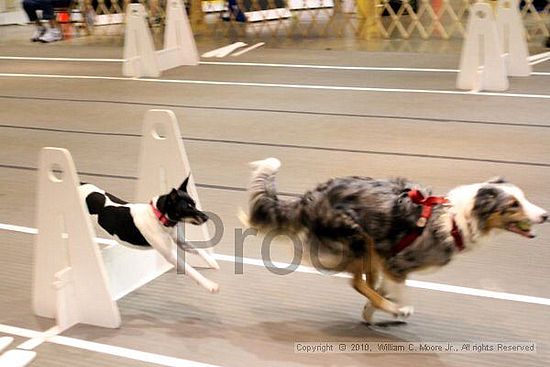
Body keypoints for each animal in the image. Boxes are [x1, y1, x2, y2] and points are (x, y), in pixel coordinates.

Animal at [79, 177, 220, 294]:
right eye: (187, 208)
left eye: (195, 204)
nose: (206, 217)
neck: (159, 218)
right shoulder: (170, 255)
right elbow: (191, 270)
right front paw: (210, 285)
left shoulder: (180, 241)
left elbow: (200, 250)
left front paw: (213, 263)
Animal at [244, 158, 548, 322]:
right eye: (512, 205)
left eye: (523, 198)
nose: (545, 215)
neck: (453, 220)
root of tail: (308, 198)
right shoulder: (396, 264)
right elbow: (399, 290)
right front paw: (397, 309)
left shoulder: (386, 259)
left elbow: (383, 288)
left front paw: (372, 310)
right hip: (357, 239)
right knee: (357, 282)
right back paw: (391, 309)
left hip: (369, 245)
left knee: (365, 282)